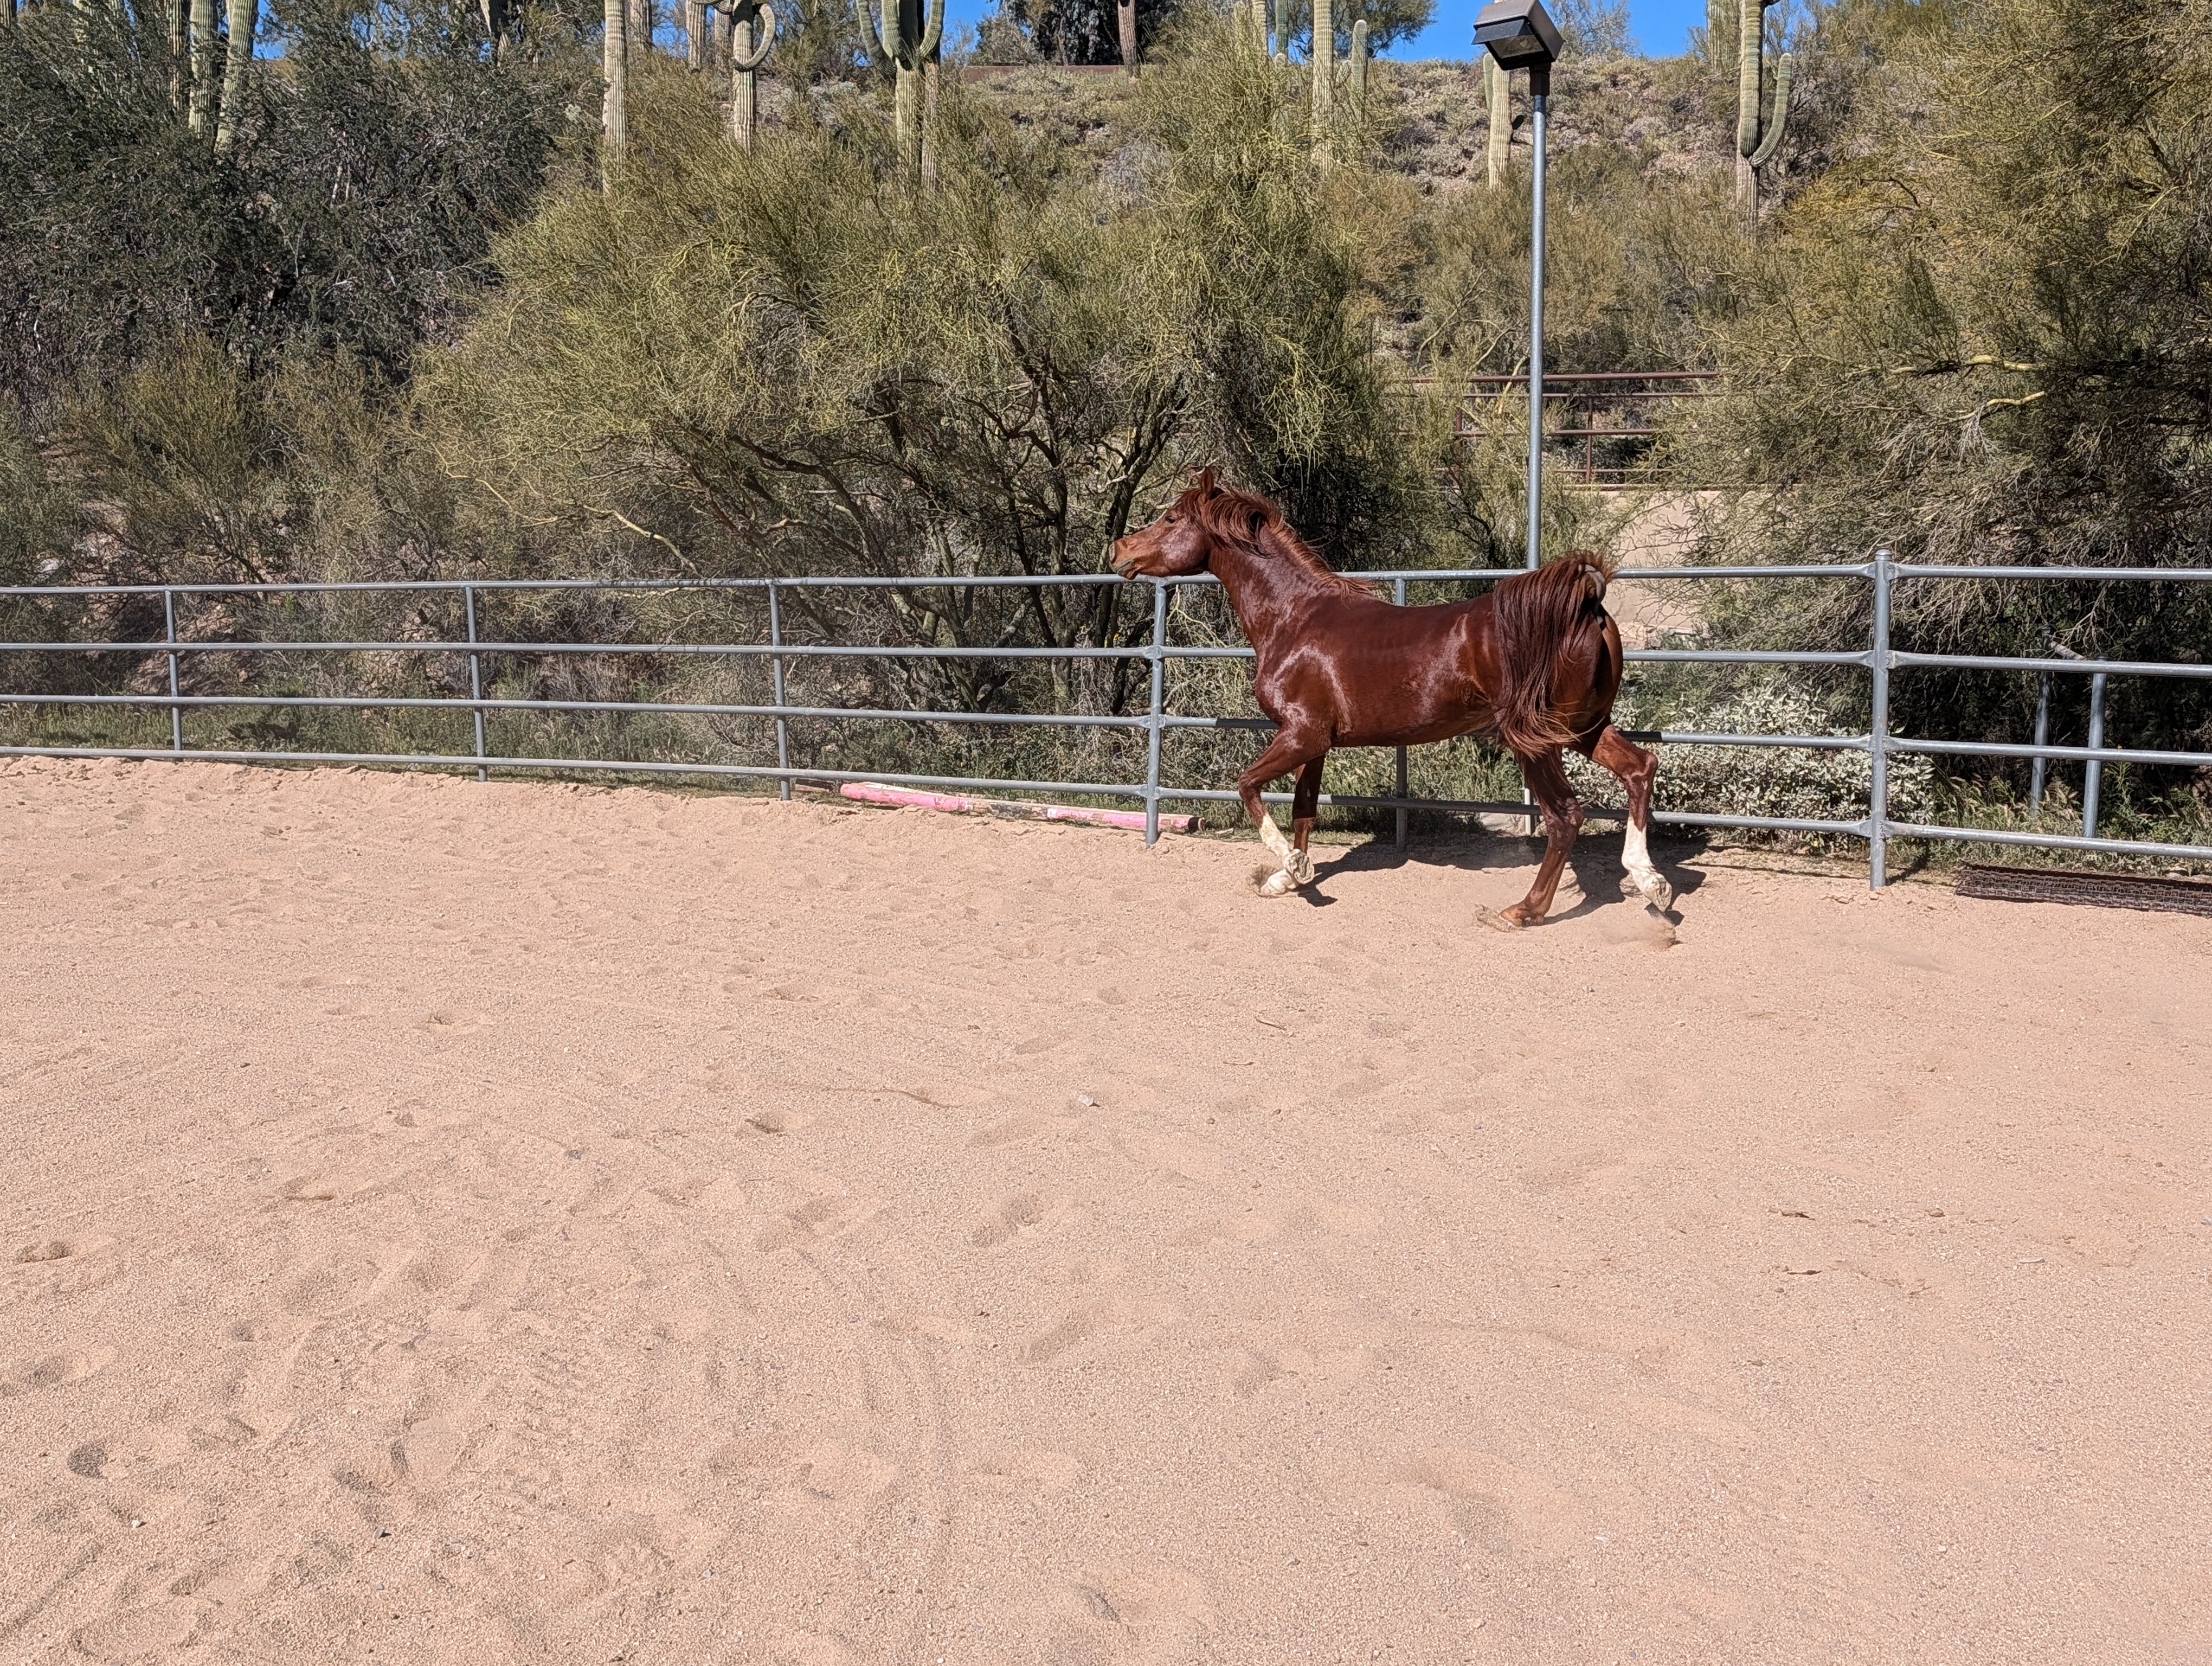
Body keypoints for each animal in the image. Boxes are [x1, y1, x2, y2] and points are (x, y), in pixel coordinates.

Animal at [1108, 470, 1672, 927]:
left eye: (1171, 516)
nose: (1119, 551)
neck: (1295, 618)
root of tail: (1587, 605)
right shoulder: (1316, 742)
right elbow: (1304, 809)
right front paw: (1287, 878)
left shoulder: (1300, 735)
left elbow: (1248, 785)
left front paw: (1288, 866)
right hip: (1581, 728)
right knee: (1639, 768)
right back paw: (1652, 883)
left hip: (1533, 740)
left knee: (1565, 817)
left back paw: (1522, 911)